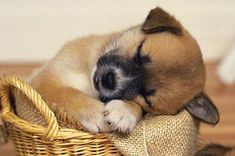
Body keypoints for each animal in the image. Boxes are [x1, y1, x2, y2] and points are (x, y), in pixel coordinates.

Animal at [15, 6, 219, 132]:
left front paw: (125, 111)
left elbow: (137, 109)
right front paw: (94, 113)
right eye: (139, 52)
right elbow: (67, 94)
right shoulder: (46, 78)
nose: (109, 80)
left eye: (146, 97)